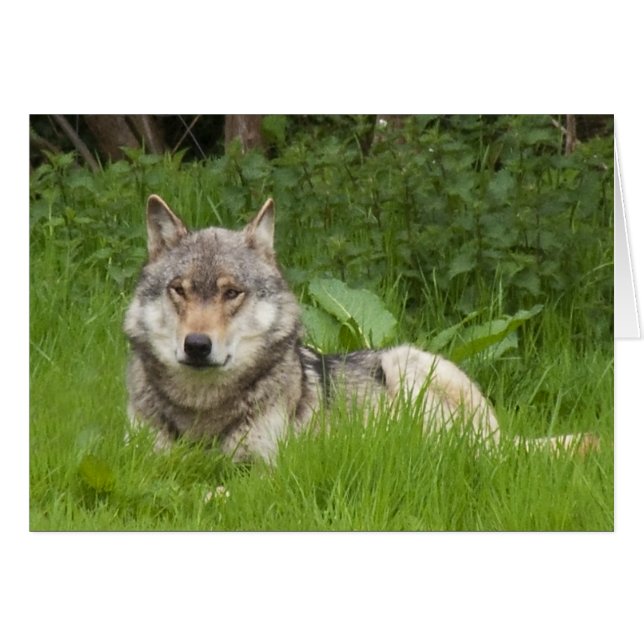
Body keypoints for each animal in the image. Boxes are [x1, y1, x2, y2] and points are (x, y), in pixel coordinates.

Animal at [124, 195, 595, 462]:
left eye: (231, 293)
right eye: (179, 290)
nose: (197, 345)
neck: (202, 408)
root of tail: (500, 437)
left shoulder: (266, 469)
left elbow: (214, 494)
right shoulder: (144, 461)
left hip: (405, 365)